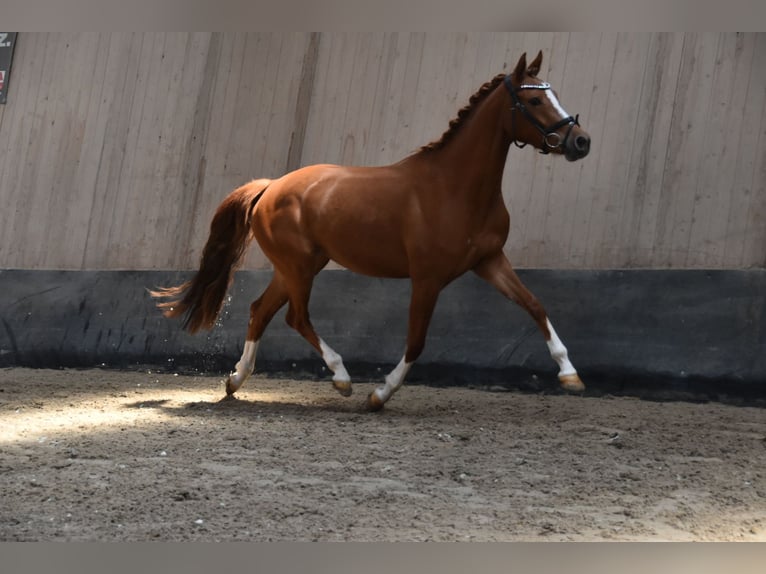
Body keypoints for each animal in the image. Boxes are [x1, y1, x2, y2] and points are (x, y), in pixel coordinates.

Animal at [152, 50, 592, 410]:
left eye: (554, 94)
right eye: (534, 100)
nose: (581, 142)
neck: (454, 187)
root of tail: (269, 187)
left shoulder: (489, 261)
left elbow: (535, 305)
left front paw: (570, 375)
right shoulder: (428, 278)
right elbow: (416, 340)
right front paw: (379, 394)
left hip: (295, 268)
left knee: (261, 311)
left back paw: (235, 380)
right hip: (299, 268)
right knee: (296, 316)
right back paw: (342, 379)